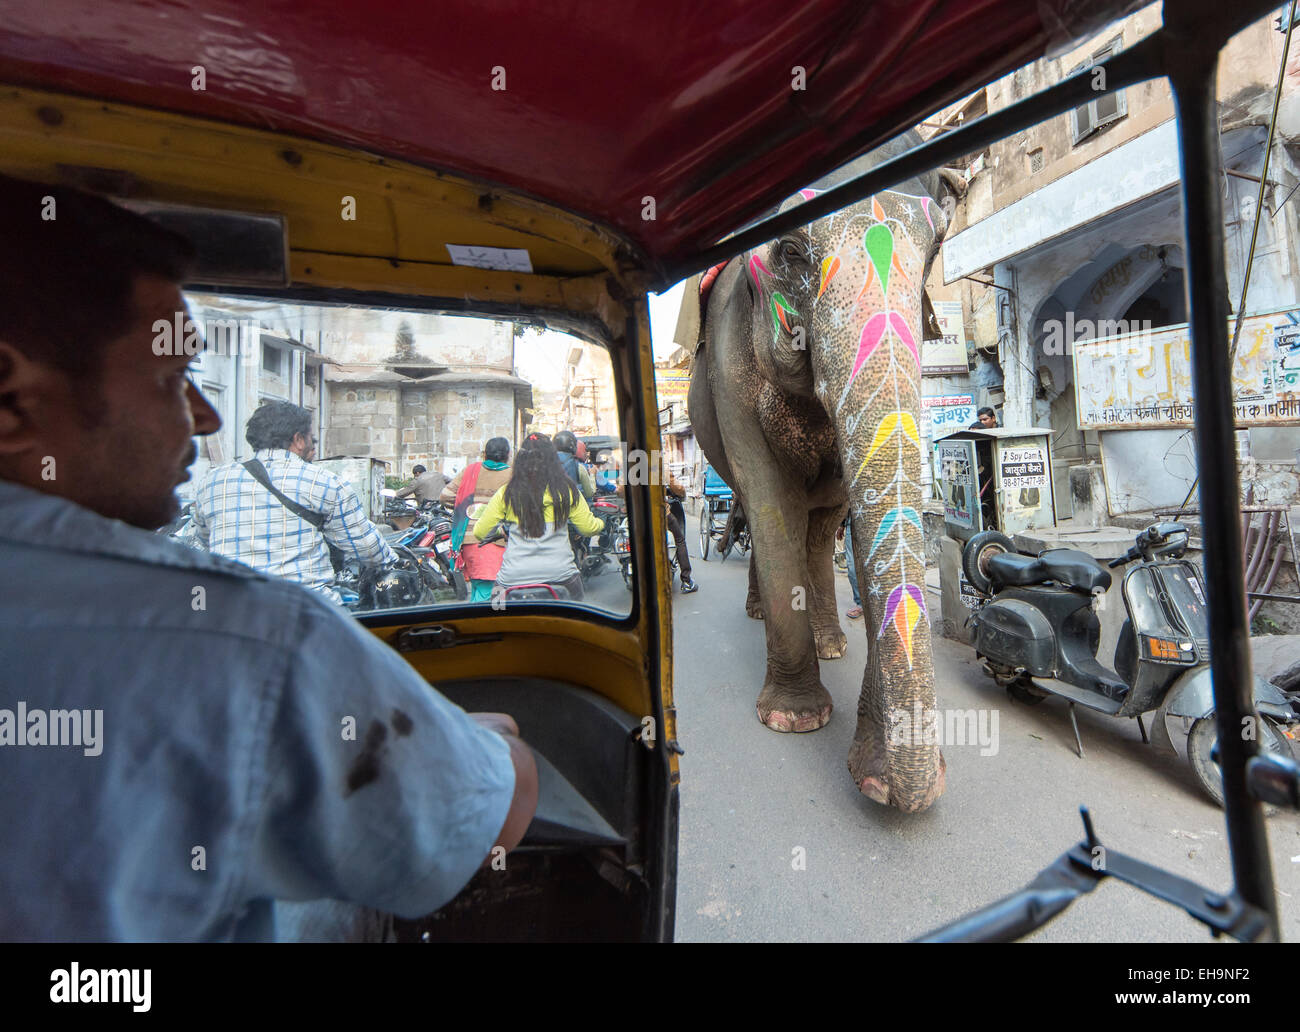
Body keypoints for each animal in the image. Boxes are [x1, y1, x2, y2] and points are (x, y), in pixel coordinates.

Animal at [691, 134, 967, 811]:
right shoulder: (731, 367)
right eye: (791, 250)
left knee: (820, 531)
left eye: (934, 251)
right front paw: (793, 719)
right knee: (764, 515)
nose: (891, 791)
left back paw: (831, 641)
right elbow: (769, 502)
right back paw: (762, 615)